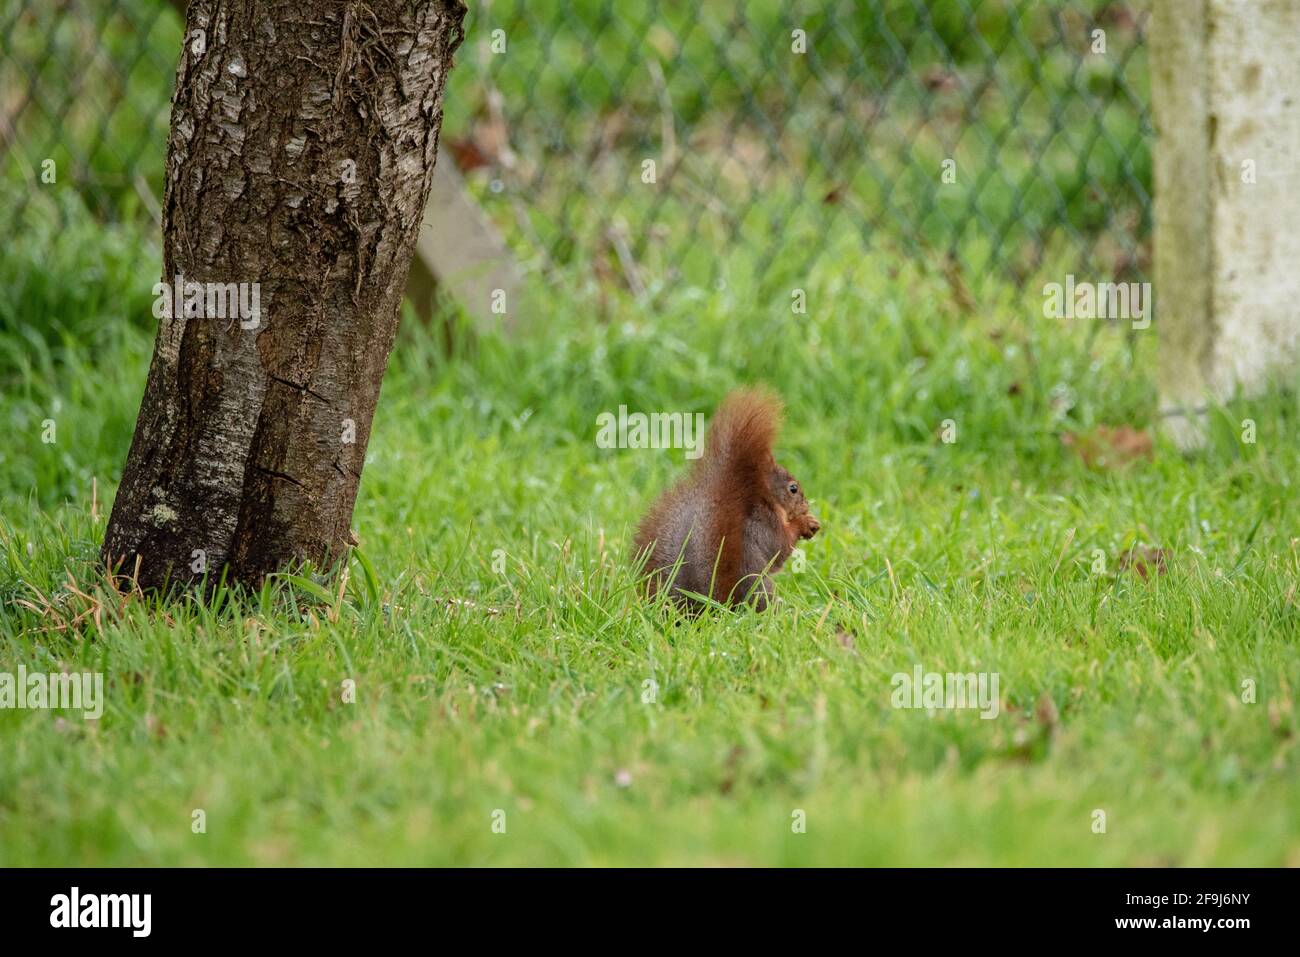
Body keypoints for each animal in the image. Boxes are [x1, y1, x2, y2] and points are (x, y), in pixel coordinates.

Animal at [633, 388, 819, 611]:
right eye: (793, 488)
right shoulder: (765, 523)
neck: (768, 501)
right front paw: (805, 523)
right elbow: (781, 547)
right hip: (761, 587)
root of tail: (719, 606)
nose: (805, 505)